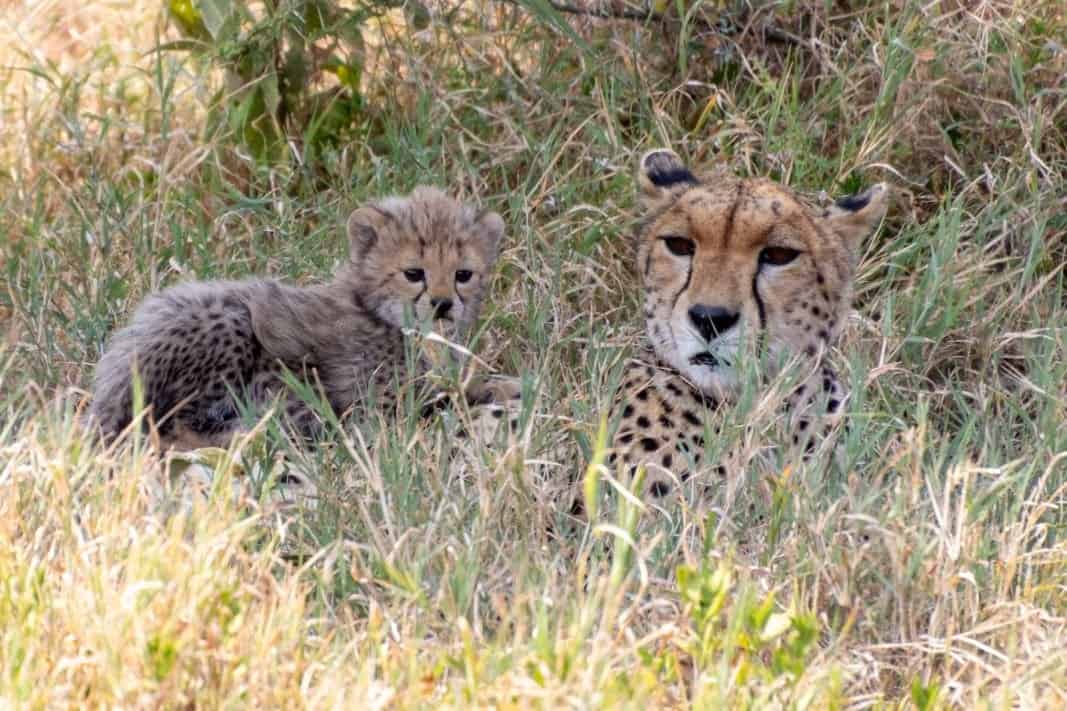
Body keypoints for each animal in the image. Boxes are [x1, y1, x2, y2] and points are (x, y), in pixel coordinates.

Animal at [87, 185, 512, 456]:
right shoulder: (379, 411)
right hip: (225, 320)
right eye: (413, 273)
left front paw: (504, 385)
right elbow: (443, 402)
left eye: (463, 275)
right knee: (170, 430)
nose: (443, 305)